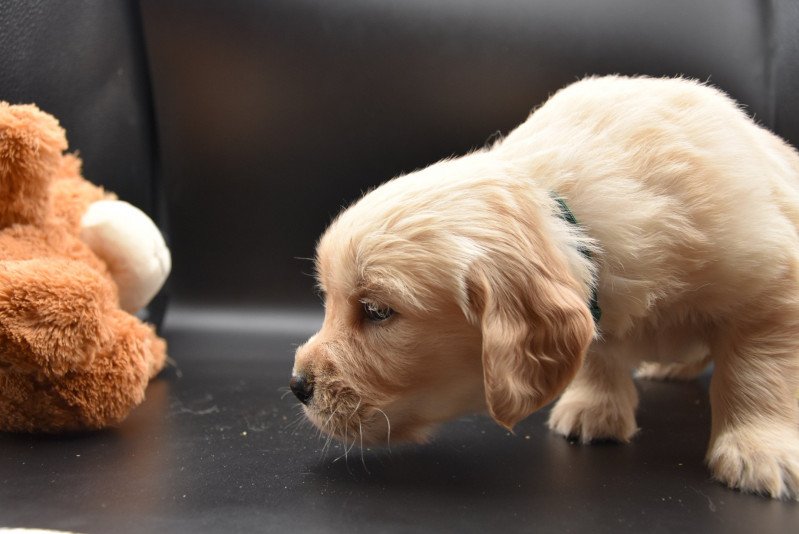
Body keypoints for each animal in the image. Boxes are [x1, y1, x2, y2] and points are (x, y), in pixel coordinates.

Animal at [292, 76, 799, 502]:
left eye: (376, 311)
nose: (297, 385)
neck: (565, 210)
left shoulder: (773, 288)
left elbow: (757, 373)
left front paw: (759, 450)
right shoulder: (595, 303)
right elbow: (598, 350)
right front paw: (594, 409)